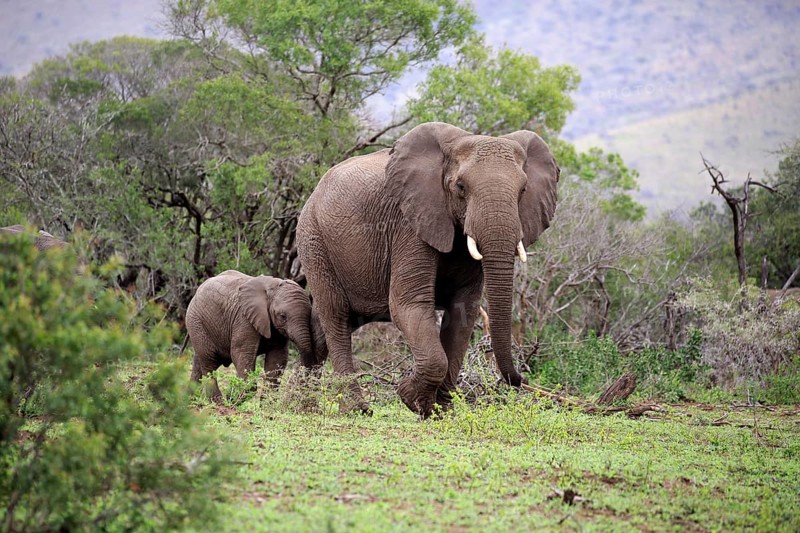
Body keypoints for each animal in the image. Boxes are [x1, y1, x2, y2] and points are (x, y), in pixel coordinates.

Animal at [185, 270, 320, 401]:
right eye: (282, 316)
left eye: (310, 316)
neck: (272, 286)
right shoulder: (244, 319)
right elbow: (241, 352)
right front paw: (233, 398)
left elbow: (277, 357)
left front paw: (265, 403)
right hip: (196, 322)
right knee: (209, 360)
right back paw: (218, 401)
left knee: (199, 361)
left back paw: (189, 398)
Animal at [297, 122, 559, 417]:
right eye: (460, 187)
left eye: (523, 190)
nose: (519, 380)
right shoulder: (408, 225)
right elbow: (408, 304)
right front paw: (411, 398)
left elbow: (463, 312)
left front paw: (441, 411)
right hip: (314, 242)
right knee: (337, 317)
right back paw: (356, 410)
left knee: (331, 324)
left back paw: (301, 402)